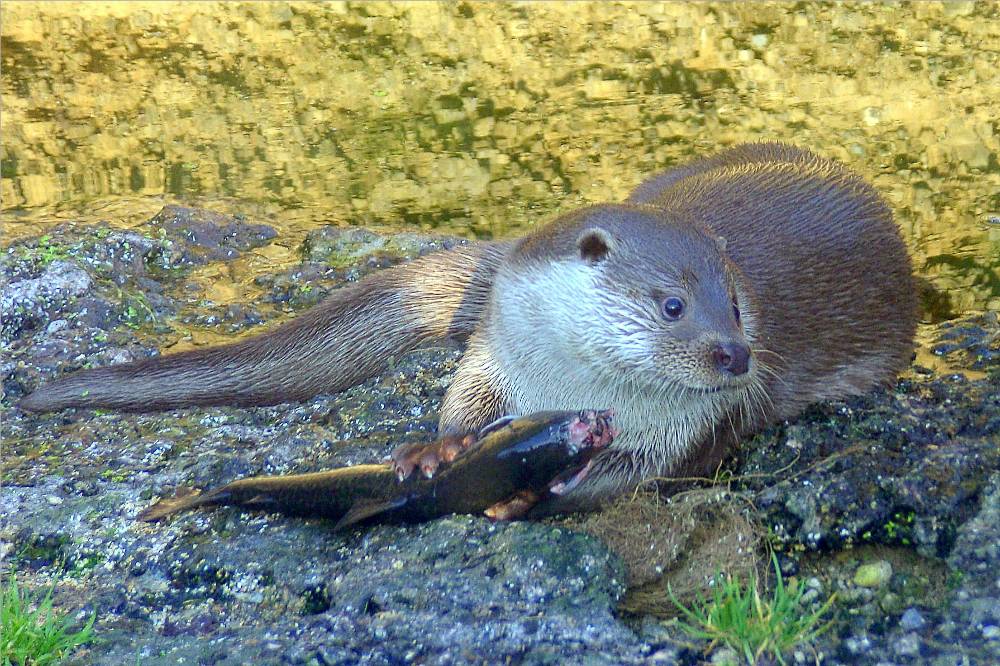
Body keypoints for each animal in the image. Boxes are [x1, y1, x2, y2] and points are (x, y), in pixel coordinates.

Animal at [19, 144, 916, 508]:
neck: (567, 379)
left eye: (735, 304)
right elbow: (466, 397)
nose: (734, 356)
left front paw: (536, 495)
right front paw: (436, 449)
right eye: (673, 304)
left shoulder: (699, 425)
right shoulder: (498, 343)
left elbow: (656, 469)